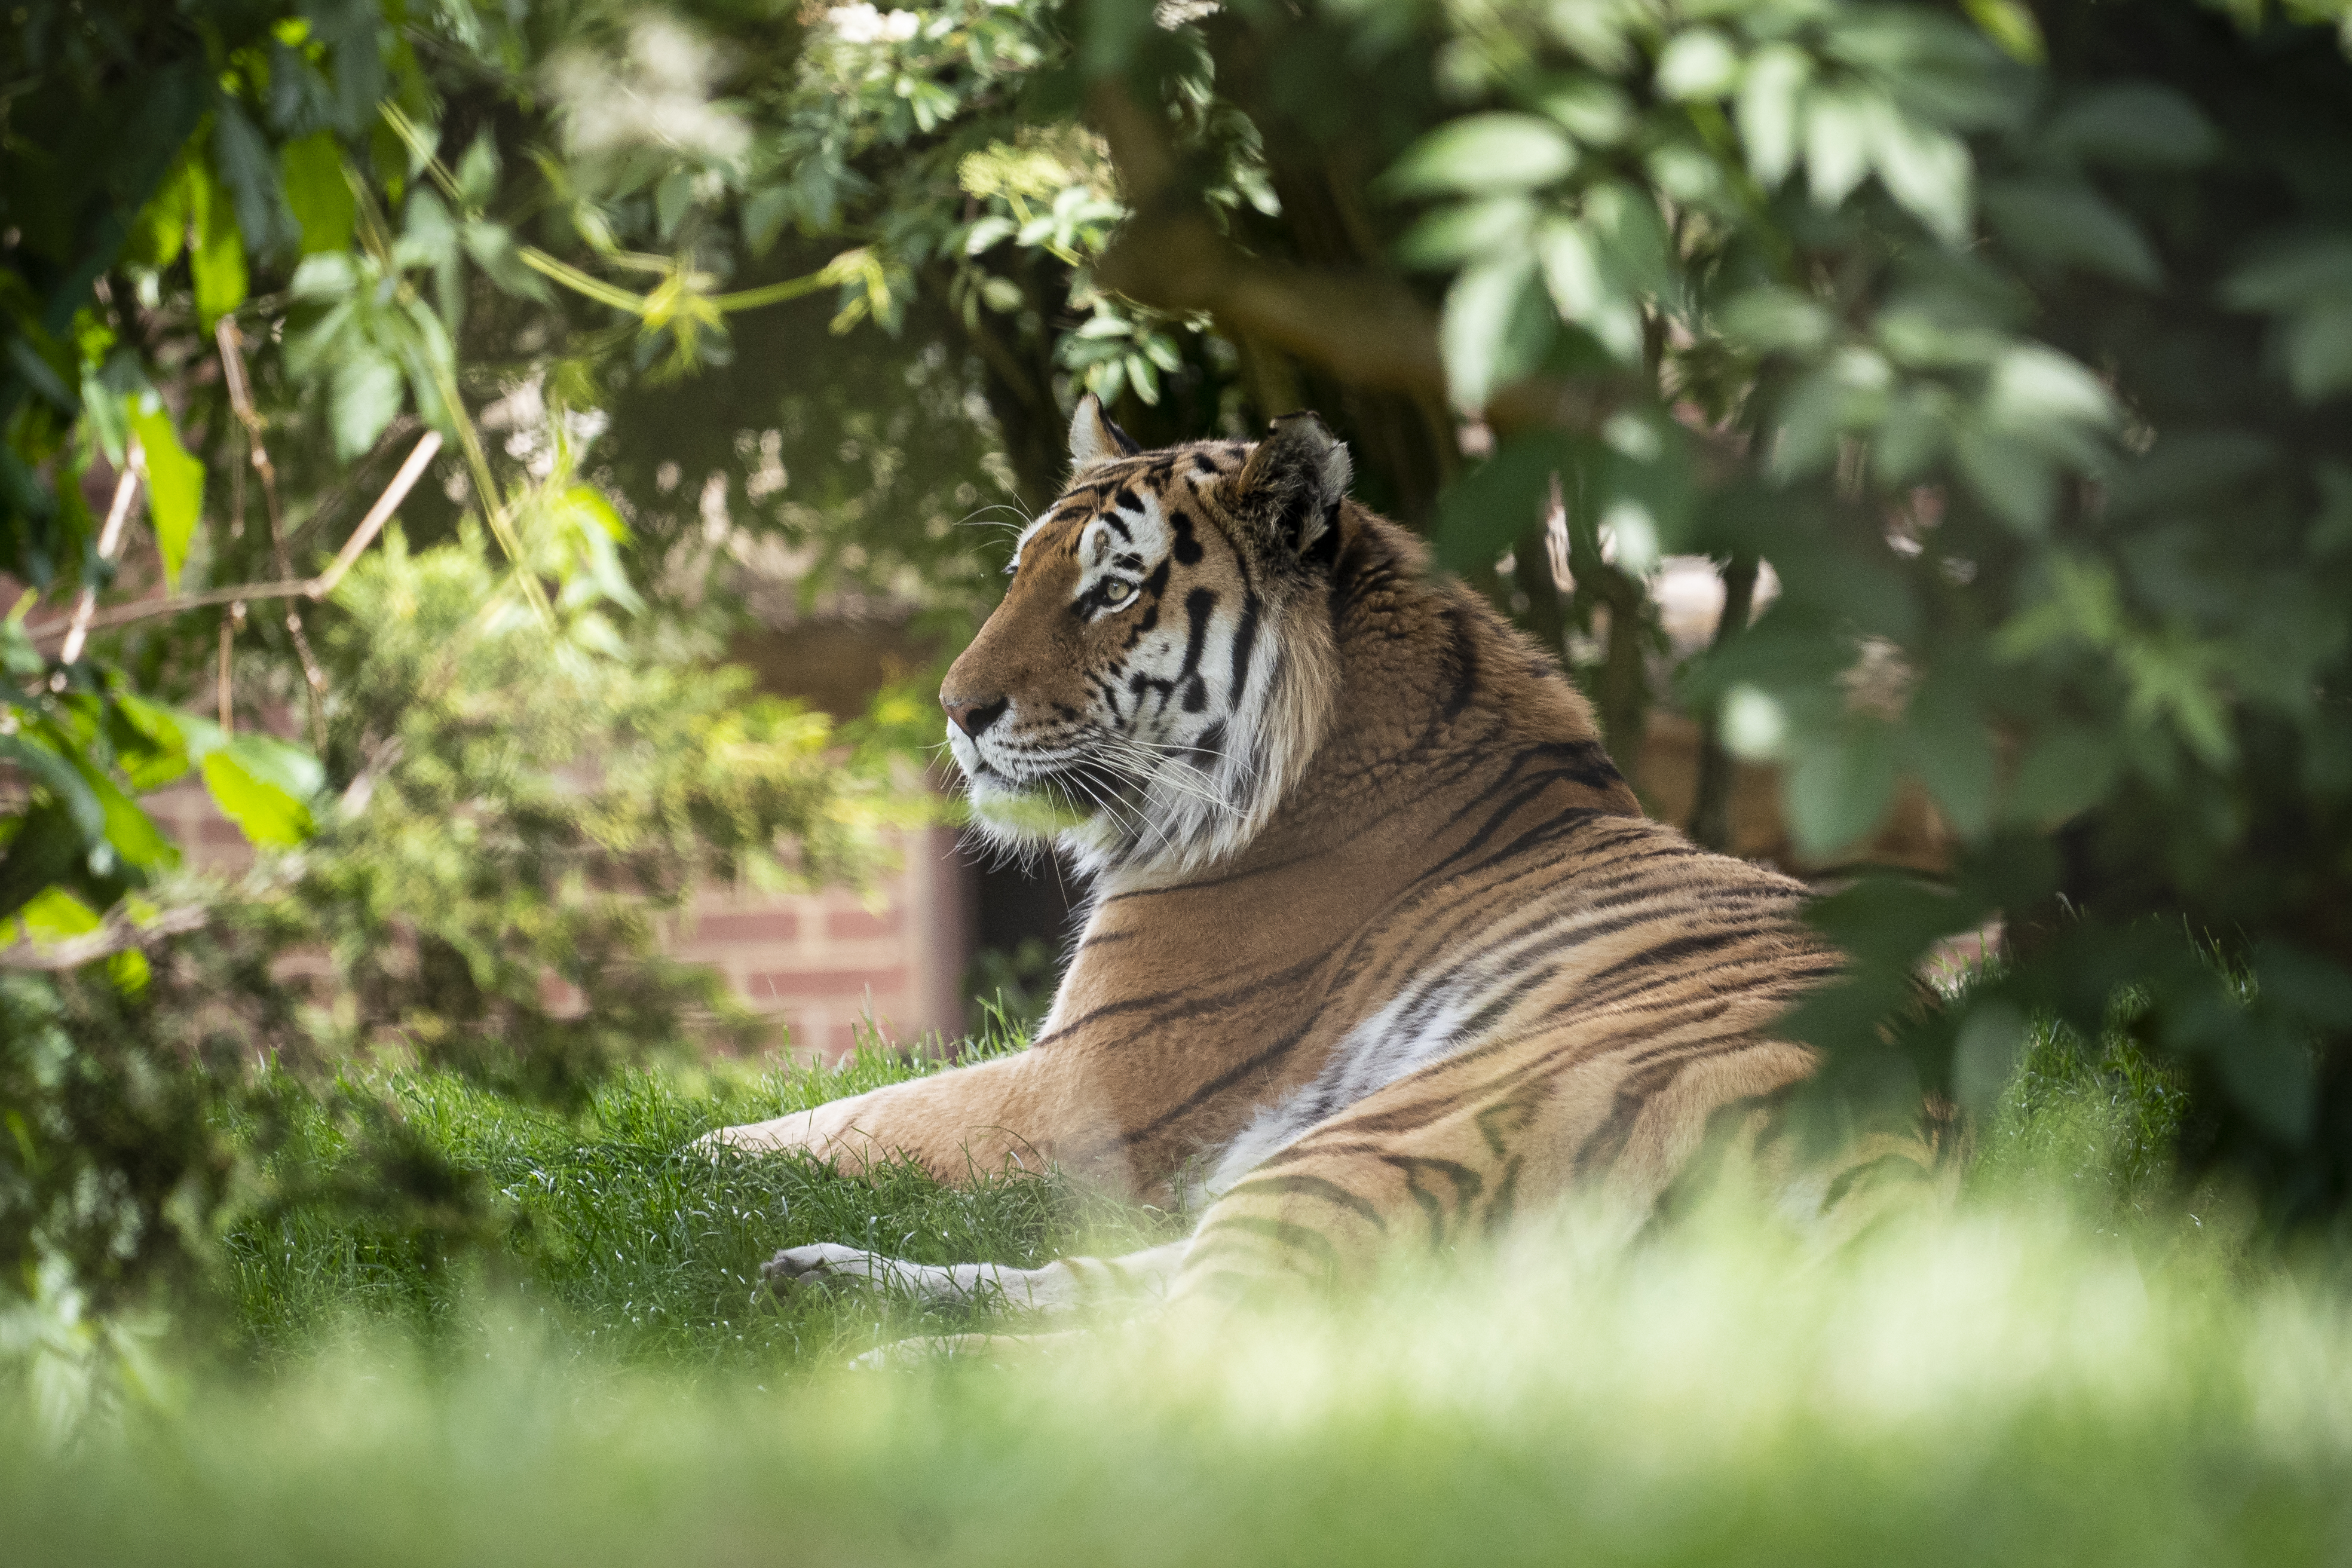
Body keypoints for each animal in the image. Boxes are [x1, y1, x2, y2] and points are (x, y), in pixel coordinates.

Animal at [709, 396, 1943, 1325]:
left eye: (1111, 589)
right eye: (1019, 574)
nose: (957, 710)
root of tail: (1895, 1152)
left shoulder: (1081, 1081)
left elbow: (817, 1127)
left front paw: (689, 1153)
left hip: (1381, 1140)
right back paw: (828, 1279)